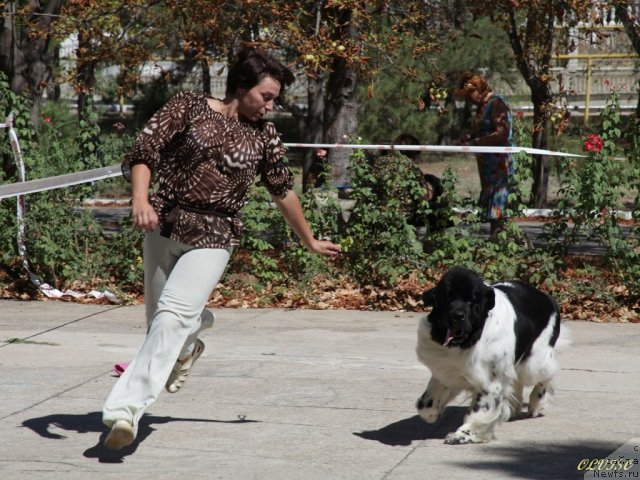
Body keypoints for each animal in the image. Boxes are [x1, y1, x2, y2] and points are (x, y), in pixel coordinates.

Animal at [416, 266, 568, 442]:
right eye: (447, 299)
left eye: (471, 301)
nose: (458, 315)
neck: (470, 340)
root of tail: (548, 299)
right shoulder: (448, 371)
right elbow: (425, 405)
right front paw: (432, 414)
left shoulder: (489, 380)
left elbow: (480, 409)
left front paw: (465, 434)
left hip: (534, 361)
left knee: (544, 375)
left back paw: (537, 402)